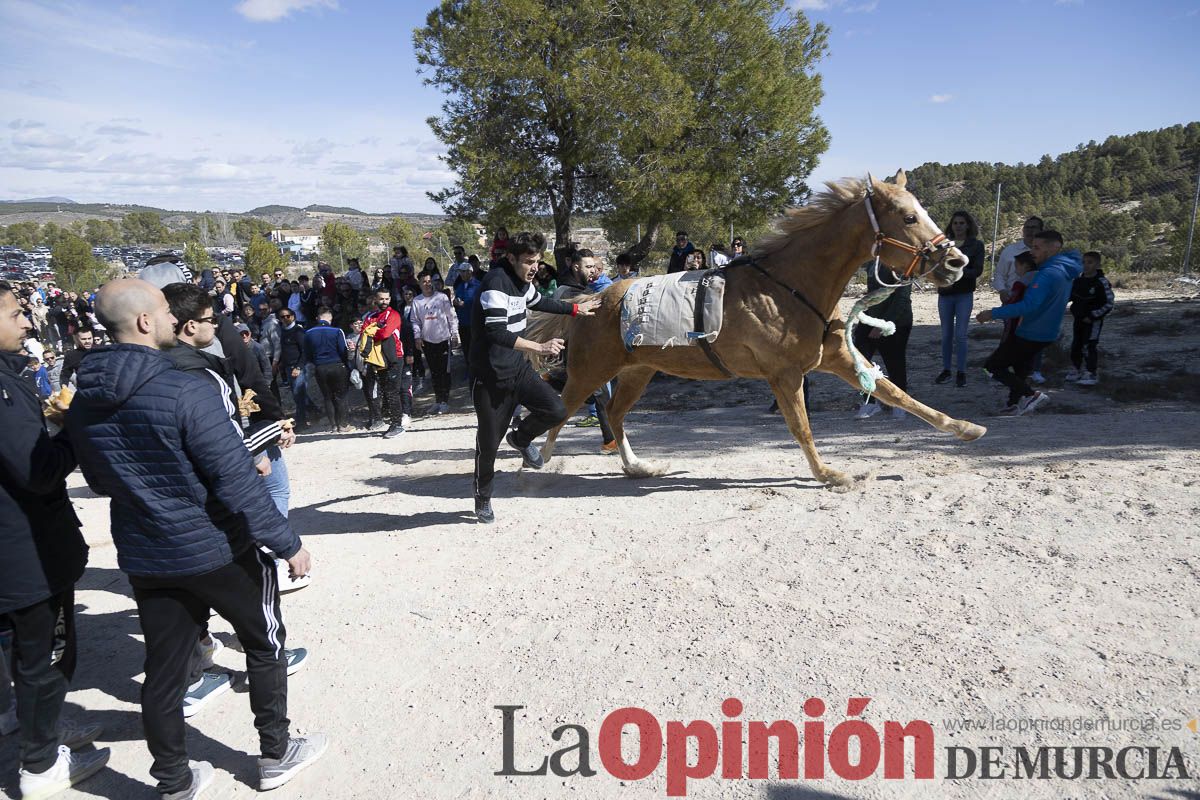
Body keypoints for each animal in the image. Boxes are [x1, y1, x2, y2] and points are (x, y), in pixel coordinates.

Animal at [540, 170, 988, 489]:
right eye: (909, 217)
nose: (957, 262)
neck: (788, 286)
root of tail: (589, 300)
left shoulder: (840, 358)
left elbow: (897, 393)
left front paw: (966, 428)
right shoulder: (785, 374)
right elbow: (801, 427)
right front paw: (830, 475)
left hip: (638, 372)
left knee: (614, 413)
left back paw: (637, 467)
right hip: (591, 371)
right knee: (562, 408)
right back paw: (538, 456)